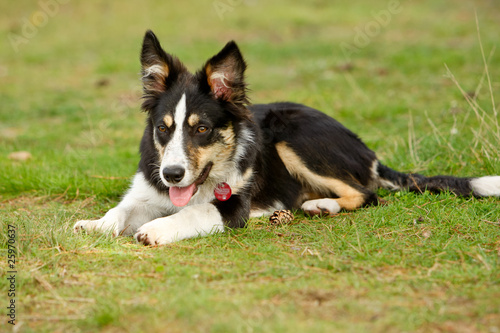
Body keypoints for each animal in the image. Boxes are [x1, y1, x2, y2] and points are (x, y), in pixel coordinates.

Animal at [74, 30, 500, 244]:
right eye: (163, 128)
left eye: (202, 129)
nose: (173, 175)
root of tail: (365, 149)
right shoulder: (147, 190)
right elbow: (121, 210)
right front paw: (96, 225)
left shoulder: (231, 206)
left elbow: (192, 213)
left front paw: (157, 230)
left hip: (292, 136)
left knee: (368, 193)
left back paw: (322, 205)